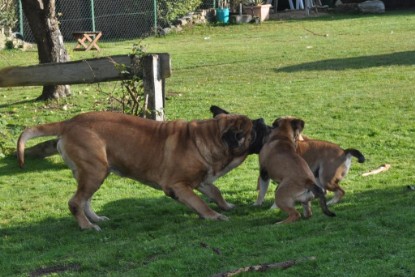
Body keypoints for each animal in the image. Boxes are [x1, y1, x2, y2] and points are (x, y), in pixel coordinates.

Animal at [17, 111, 255, 230]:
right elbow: (200, 202)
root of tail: (68, 122)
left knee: (85, 200)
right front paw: (214, 216)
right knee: (75, 202)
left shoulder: (201, 180)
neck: (206, 138)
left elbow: (215, 191)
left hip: (92, 174)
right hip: (95, 172)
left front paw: (226, 206)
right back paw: (87, 227)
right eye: (251, 130)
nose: (261, 122)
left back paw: (96, 219)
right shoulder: (179, 185)